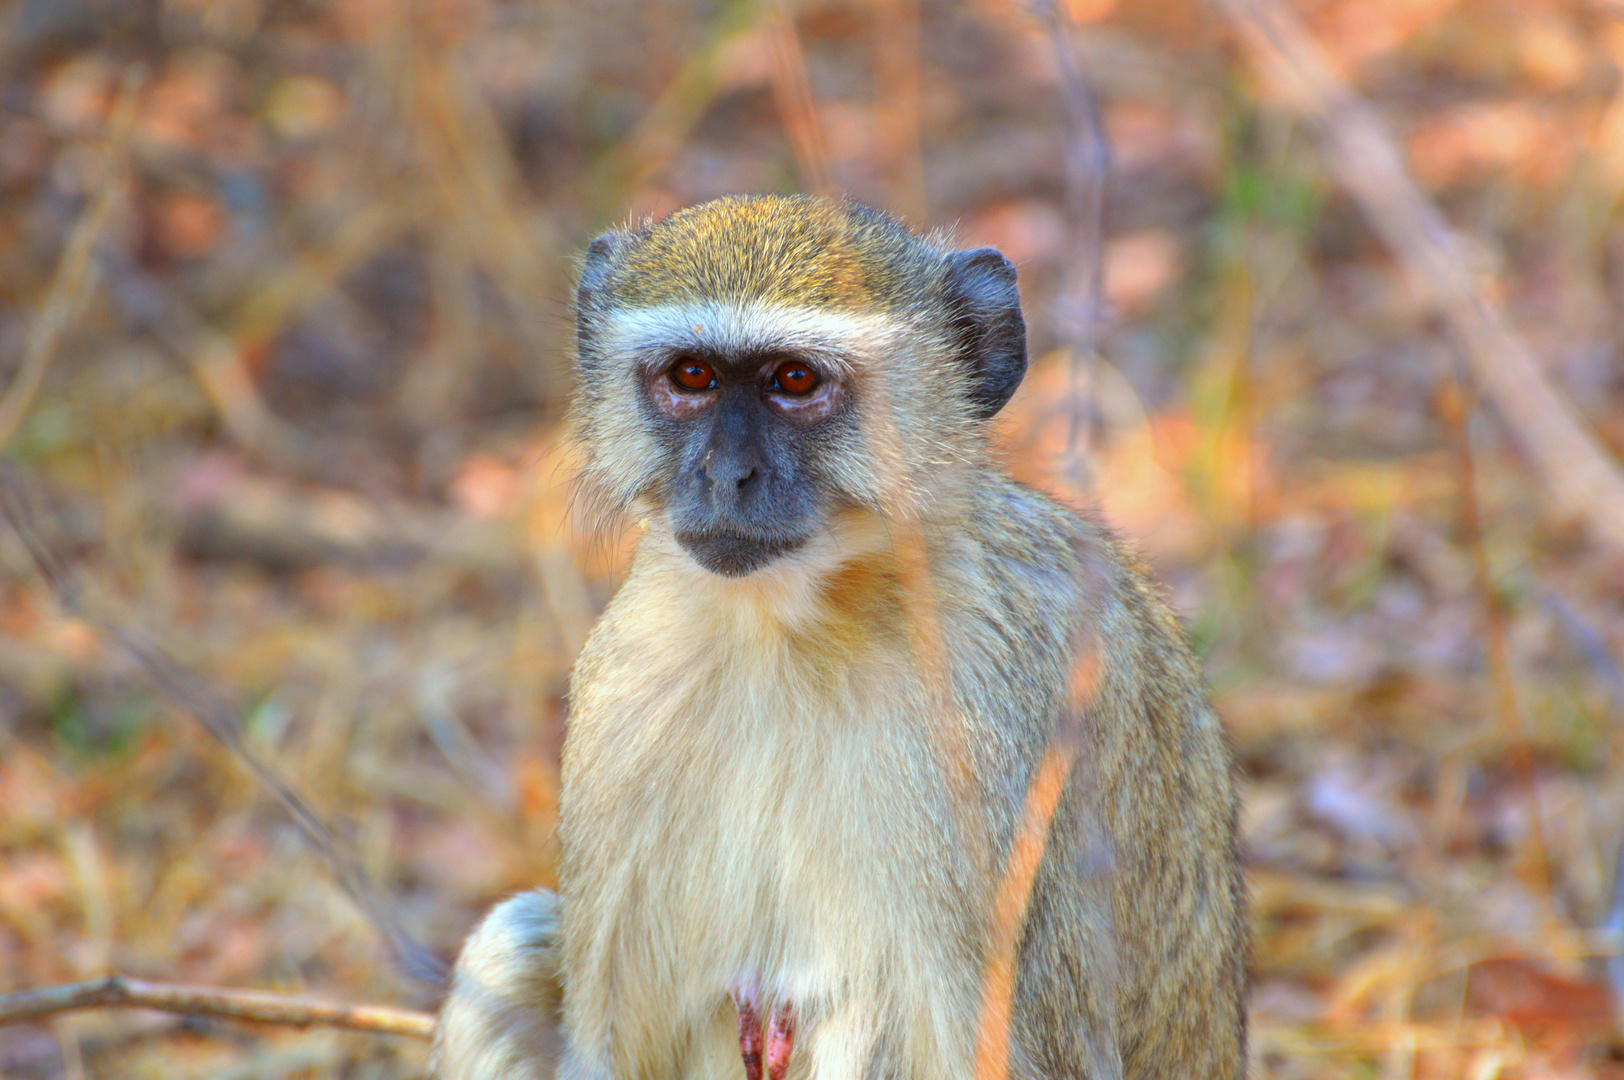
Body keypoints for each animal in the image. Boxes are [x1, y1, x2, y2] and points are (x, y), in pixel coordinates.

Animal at [431, 195, 1240, 1078]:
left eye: (794, 380)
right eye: (691, 377)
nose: (726, 475)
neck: (794, 631)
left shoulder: (1003, 716)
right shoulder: (627, 681)